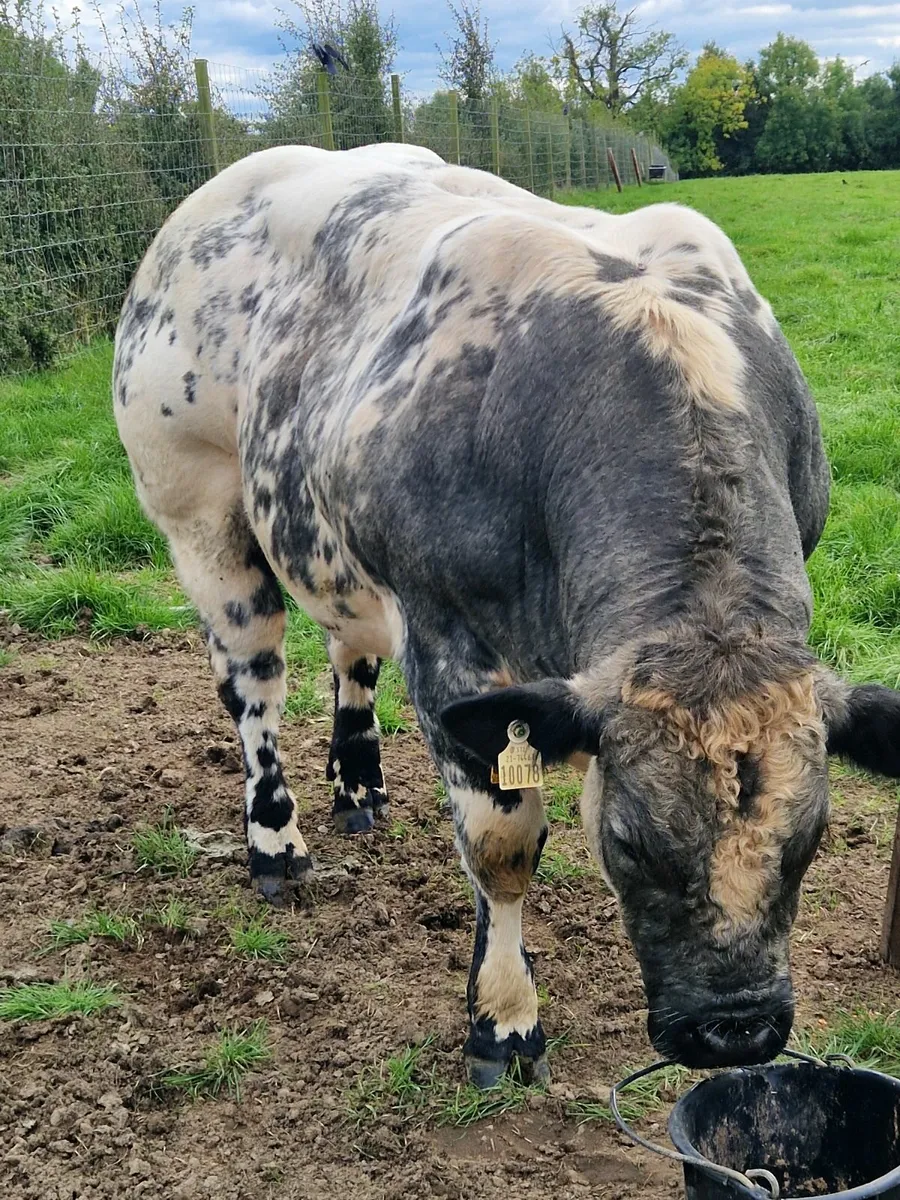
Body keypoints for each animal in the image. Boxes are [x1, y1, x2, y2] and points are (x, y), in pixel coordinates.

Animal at [113, 143, 900, 1088]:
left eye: (812, 837)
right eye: (628, 841)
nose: (736, 1030)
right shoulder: (448, 645)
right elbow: (502, 846)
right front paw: (505, 1019)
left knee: (350, 651)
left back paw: (359, 786)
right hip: (197, 510)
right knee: (252, 684)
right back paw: (276, 839)